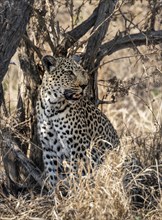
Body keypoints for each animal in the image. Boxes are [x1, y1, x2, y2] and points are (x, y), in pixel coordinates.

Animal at [36, 55, 118, 189]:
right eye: (69, 73)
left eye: (83, 72)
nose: (85, 85)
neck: (51, 107)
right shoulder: (48, 148)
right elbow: (53, 176)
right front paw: (55, 194)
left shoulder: (79, 146)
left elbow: (77, 173)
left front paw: (76, 191)